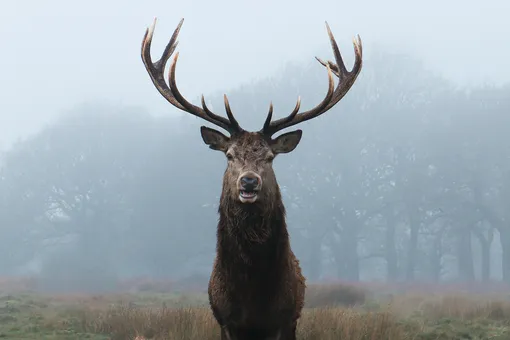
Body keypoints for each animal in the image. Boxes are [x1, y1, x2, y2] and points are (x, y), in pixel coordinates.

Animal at [140, 17, 362, 340]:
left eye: (269, 157)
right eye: (230, 155)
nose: (248, 181)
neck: (253, 294)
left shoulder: (285, 319)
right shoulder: (225, 320)